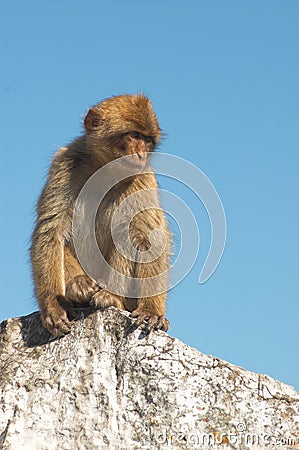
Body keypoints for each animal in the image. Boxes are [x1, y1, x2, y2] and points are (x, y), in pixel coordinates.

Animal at [31, 93, 171, 336]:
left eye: (148, 140)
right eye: (135, 135)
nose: (142, 154)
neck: (105, 170)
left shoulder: (143, 179)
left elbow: (149, 236)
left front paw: (151, 310)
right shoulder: (65, 164)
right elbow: (50, 230)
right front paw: (54, 305)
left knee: (129, 233)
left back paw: (111, 297)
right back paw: (78, 287)